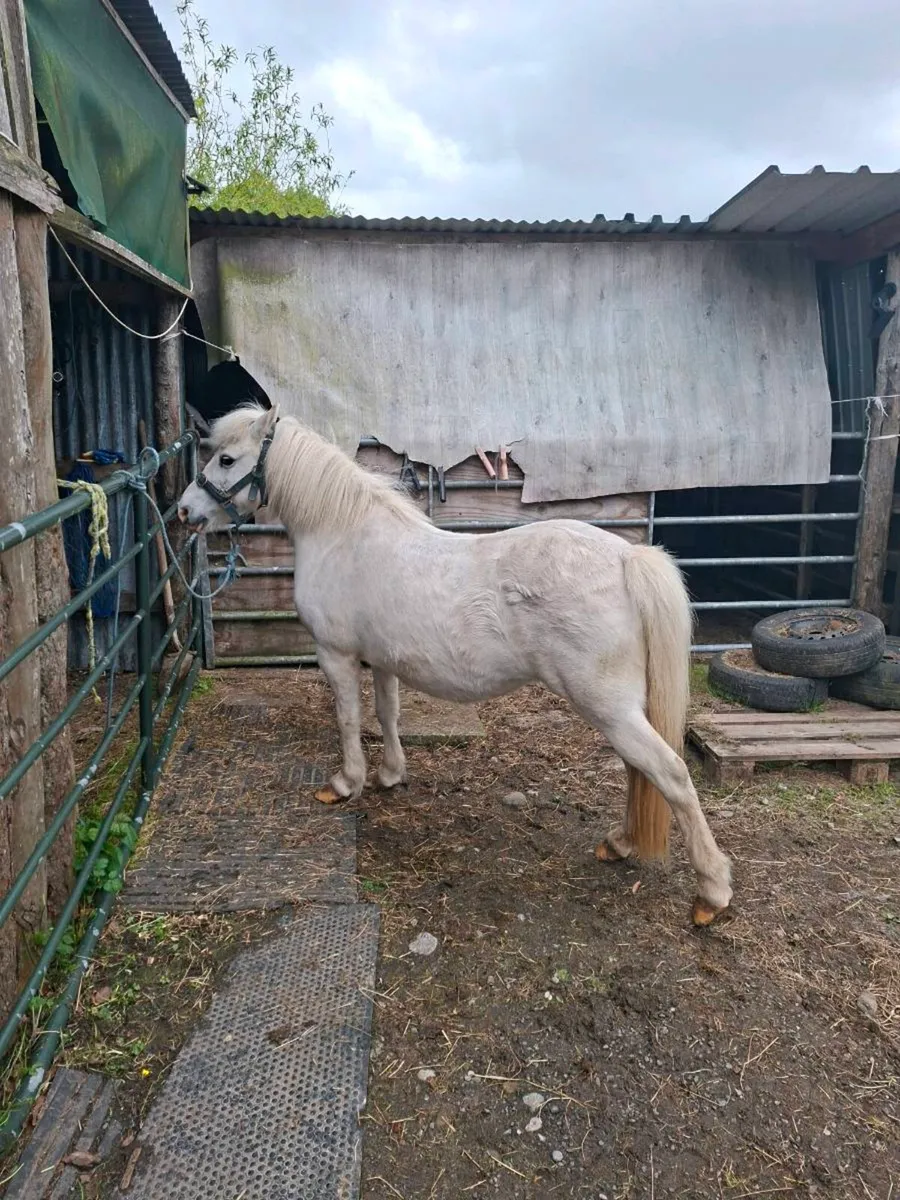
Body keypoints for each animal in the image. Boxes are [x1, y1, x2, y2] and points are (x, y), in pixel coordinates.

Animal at [178, 404, 733, 926]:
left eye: (226, 459)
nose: (184, 511)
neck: (343, 532)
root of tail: (626, 558)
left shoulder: (336, 655)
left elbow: (348, 719)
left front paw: (346, 783)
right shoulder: (382, 659)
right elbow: (387, 714)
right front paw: (390, 775)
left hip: (609, 708)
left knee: (671, 774)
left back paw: (711, 892)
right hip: (621, 710)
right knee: (641, 771)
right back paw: (620, 843)